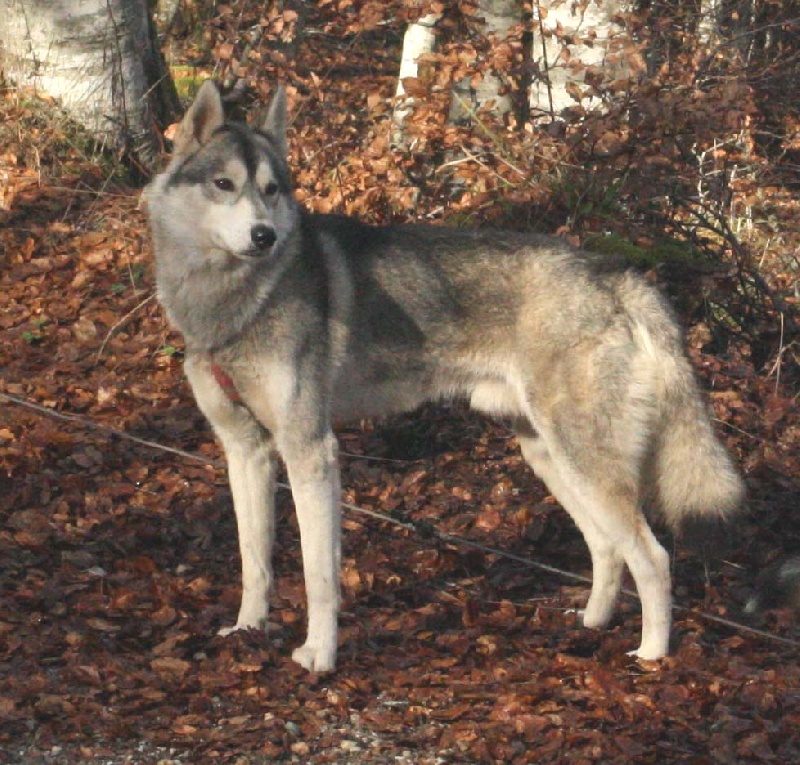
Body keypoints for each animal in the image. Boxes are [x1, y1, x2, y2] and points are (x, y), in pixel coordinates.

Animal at [142, 80, 744, 672]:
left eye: (270, 189)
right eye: (224, 184)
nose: (264, 235)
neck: (234, 303)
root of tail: (615, 274)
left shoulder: (310, 452)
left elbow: (319, 576)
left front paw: (320, 655)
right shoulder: (246, 452)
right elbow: (255, 561)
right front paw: (247, 630)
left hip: (585, 461)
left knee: (653, 557)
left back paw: (652, 655)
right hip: (550, 458)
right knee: (607, 547)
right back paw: (592, 623)